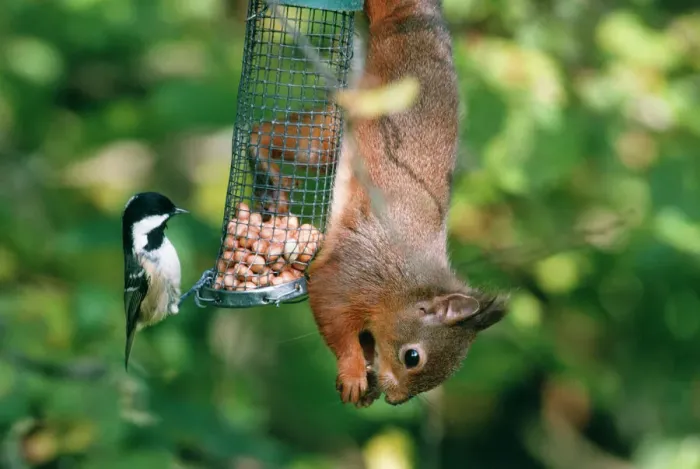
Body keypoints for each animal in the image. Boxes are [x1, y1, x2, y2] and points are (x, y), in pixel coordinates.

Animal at [306, 0, 508, 407]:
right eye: (412, 357)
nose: (395, 400)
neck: (402, 288)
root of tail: (420, 20)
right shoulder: (354, 274)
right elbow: (330, 309)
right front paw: (354, 371)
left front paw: (364, 379)